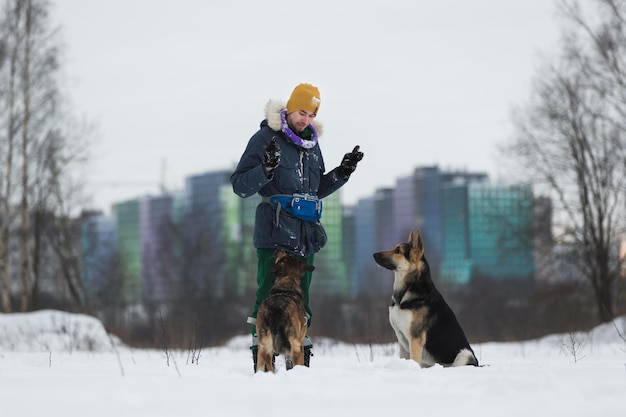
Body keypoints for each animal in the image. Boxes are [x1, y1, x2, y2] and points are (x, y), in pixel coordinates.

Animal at [370, 231, 478, 368]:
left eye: (398, 250)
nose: (374, 254)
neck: (408, 290)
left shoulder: (415, 339)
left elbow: (413, 359)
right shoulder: (401, 340)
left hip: (465, 354)